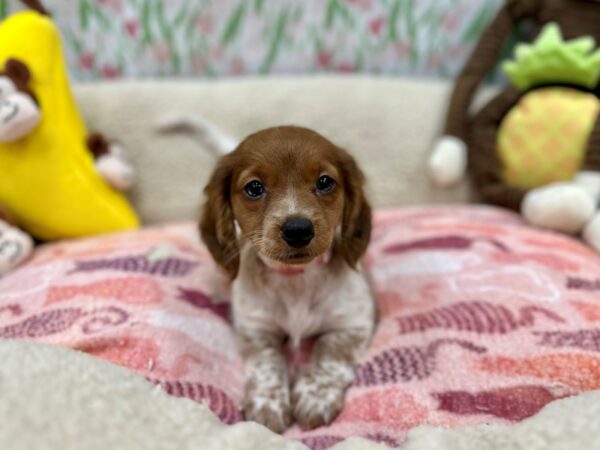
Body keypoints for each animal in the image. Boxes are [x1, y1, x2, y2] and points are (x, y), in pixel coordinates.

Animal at [199, 125, 372, 432]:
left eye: (325, 182)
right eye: (254, 188)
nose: (298, 229)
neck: (296, 278)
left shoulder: (354, 323)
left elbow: (331, 354)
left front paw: (316, 396)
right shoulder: (255, 328)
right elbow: (266, 362)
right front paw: (268, 403)